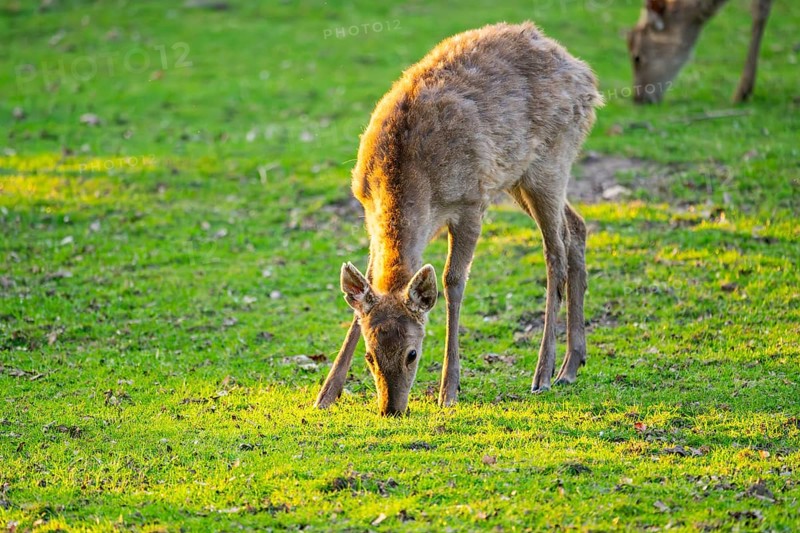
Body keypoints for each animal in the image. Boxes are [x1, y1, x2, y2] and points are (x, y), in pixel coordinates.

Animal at [314, 22, 603, 416]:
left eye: (412, 354)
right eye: (371, 357)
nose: (392, 409)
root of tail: (586, 77)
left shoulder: (470, 202)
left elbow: (452, 281)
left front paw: (448, 391)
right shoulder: (366, 208)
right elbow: (370, 283)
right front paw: (326, 393)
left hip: (552, 158)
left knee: (554, 249)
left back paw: (543, 374)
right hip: (517, 176)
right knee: (576, 227)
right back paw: (572, 364)